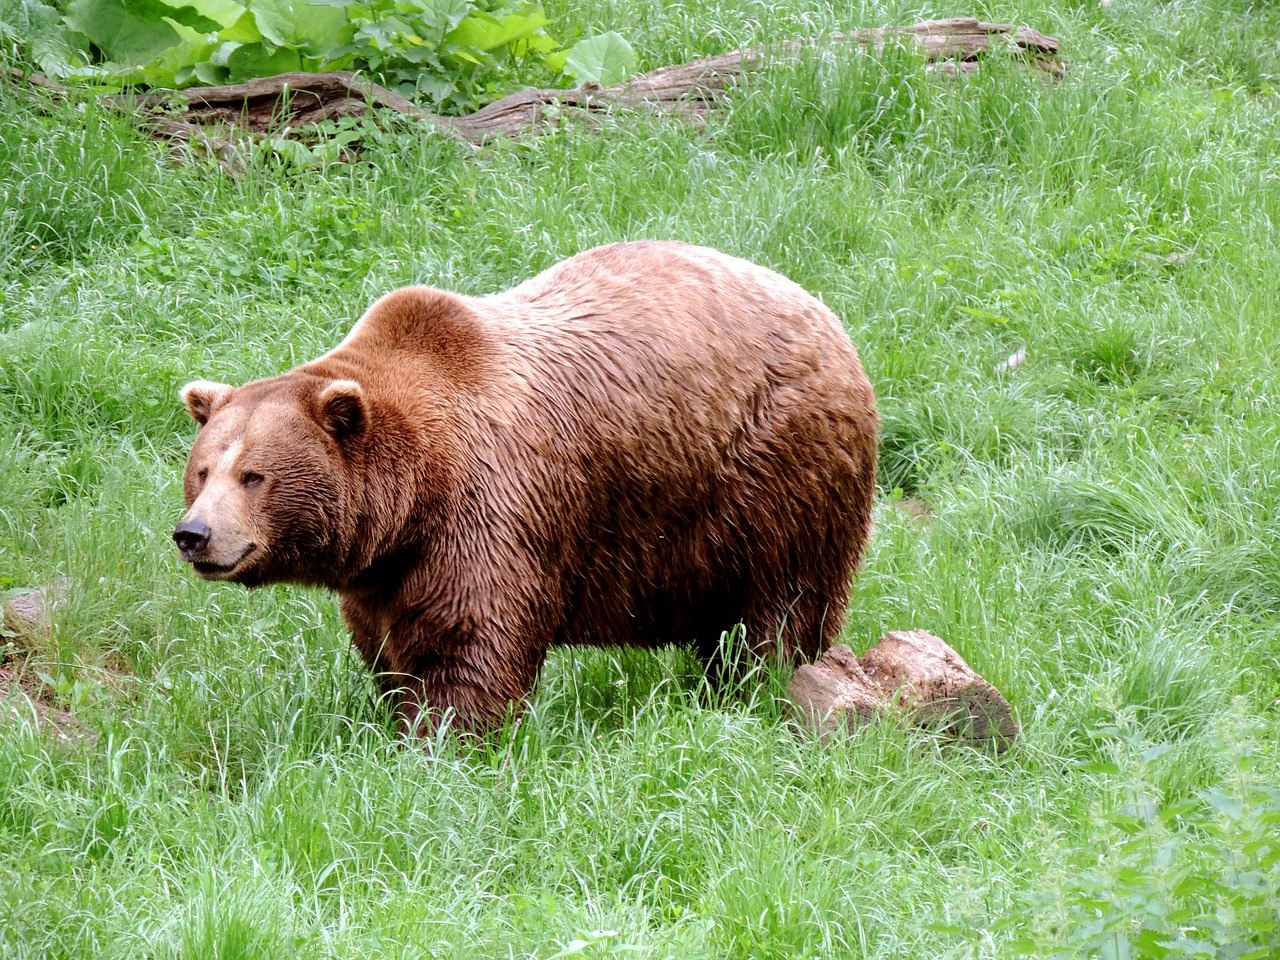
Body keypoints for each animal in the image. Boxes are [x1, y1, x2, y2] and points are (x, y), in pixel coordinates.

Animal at [172, 240, 880, 737]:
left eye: (254, 475)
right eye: (202, 471)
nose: (194, 534)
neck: (416, 497)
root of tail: (828, 314)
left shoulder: (491, 509)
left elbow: (467, 642)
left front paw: (443, 736)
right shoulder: (386, 571)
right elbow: (386, 645)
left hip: (775, 469)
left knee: (779, 604)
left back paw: (759, 682)